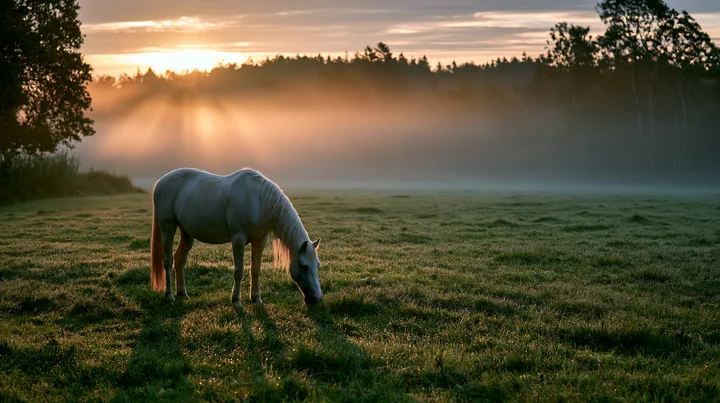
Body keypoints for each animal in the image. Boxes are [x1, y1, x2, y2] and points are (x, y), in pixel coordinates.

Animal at [149, 167, 322, 307]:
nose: (317, 298)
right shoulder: (238, 239)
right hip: (168, 228)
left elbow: (256, 269)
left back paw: (182, 294)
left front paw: (256, 299)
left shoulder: (260, 240)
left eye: (318, 265)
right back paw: (169, 295)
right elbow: (239, 271)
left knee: (180, 259)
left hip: (187, 234)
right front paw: (236, 301)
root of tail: (160, 182)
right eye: (304, 266)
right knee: (168, 260)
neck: (258, 200)